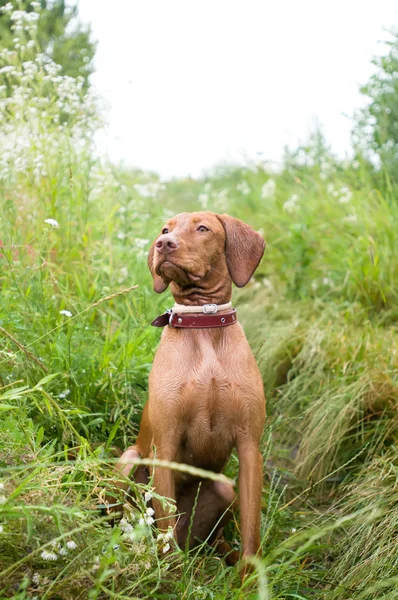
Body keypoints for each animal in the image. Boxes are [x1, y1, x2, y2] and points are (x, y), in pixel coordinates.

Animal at [112, 211, 266, 572]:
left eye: (203, 228)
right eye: (165, 229)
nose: (163, 244)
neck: (204, 323)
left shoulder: (250, 446)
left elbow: (252, 529)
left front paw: (250, 578)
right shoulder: (165, 444)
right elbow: (165, 519)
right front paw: (171, 572)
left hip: (224, 489)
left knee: (214, 536)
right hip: (128, 461)